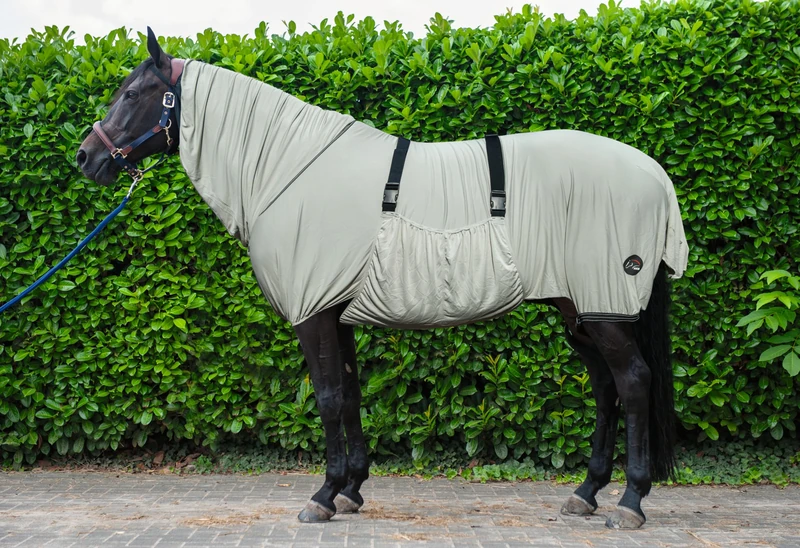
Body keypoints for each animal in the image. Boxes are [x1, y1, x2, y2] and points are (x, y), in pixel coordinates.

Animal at [76, 28, 688, 529]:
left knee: (633, 381)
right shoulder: (335, 310)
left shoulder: (313, 312)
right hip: (579, 309)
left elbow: (326, 398)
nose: (86, 157)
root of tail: (655, 175)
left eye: (132, 93)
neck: (288, 169)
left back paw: (629, 503)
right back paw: (586, 493)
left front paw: (323, 496)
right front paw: (351, 490)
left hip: (605, 305)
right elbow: (348, 395)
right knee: (607, 387)